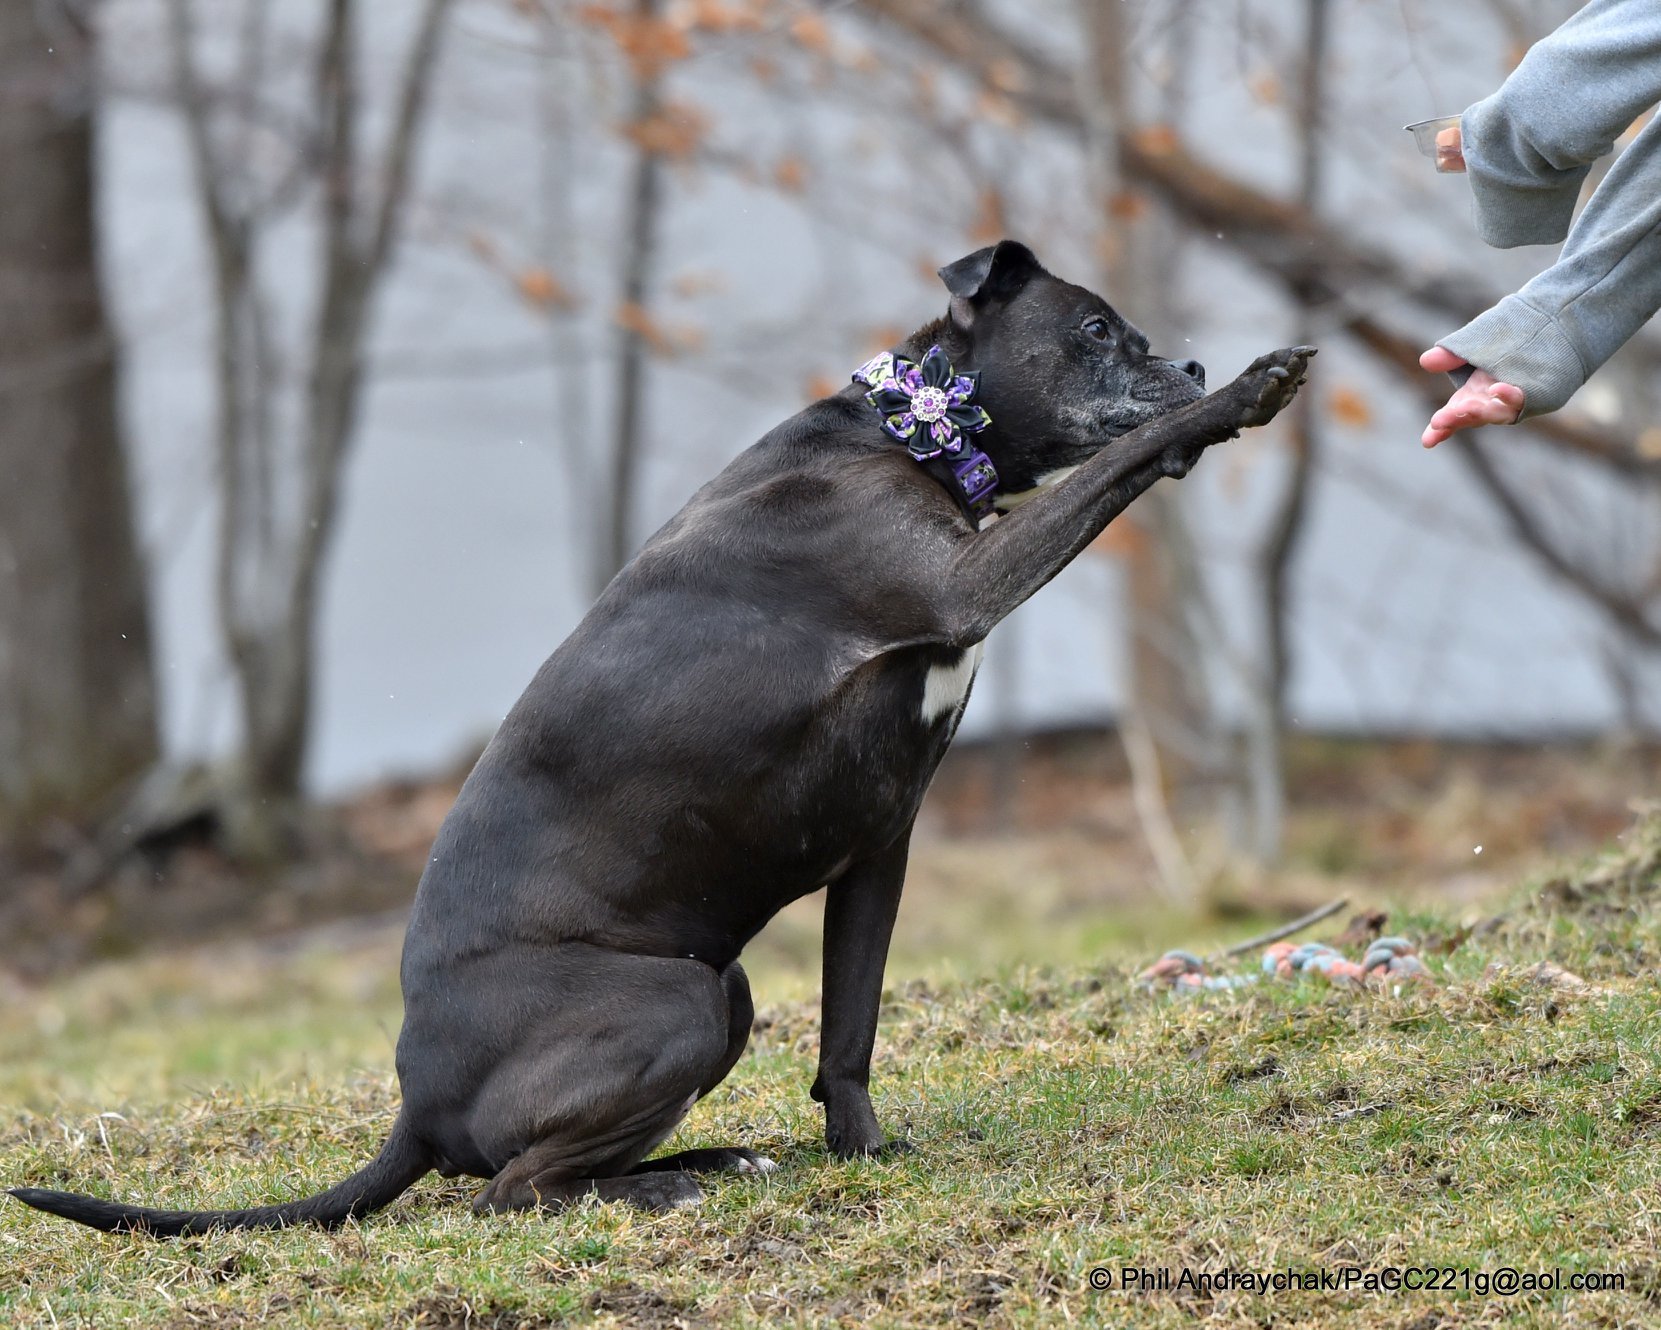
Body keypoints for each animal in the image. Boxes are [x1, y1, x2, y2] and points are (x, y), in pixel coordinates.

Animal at [12, 239, 1308, 1235]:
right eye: (1093, 329)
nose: (1190, 360)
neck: (905, 436)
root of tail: (415, 1108)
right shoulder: (968, 584)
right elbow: (1124, 463)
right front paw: (1245, 390)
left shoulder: (882, 840)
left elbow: (851, 1026)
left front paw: (862, 1152)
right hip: (673, 1002)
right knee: (513, 1192)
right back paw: (668, 1190)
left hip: (719, 991)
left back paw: (713, 1161)